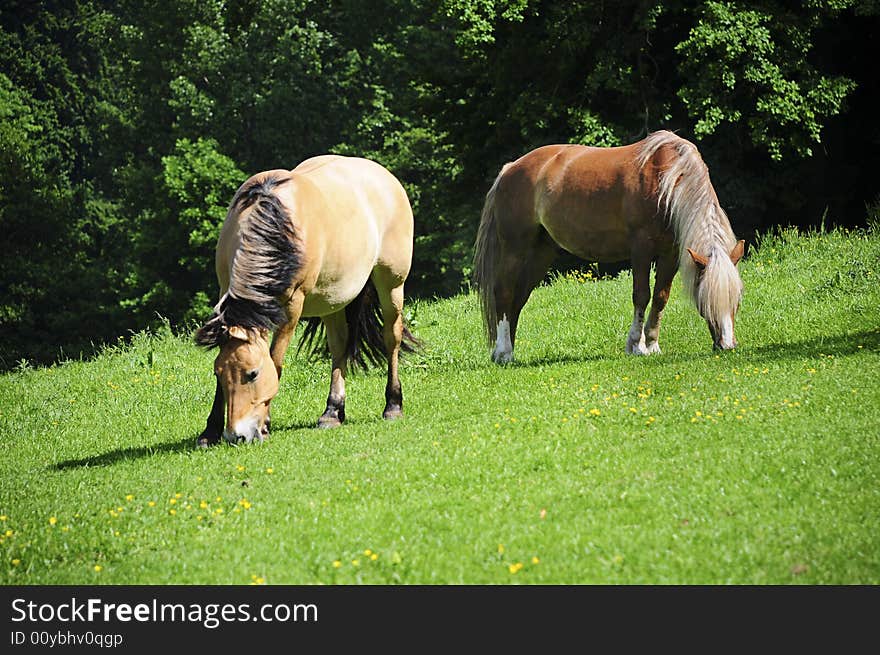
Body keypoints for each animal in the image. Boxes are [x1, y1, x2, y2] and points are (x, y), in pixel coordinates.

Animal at [198, 156, 418, 448]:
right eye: (218, 374)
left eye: (253, 374)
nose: (237, 436)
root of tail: (384, 176)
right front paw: (209, 432)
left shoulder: (291, 307)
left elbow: (276, 361)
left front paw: (264, 425)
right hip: (333, 299)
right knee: (339, 345)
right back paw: (333, 412)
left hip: (391, 284)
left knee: (391, 338)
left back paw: (393, 405)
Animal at [474, 129, 744, 364]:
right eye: (708, 299)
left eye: (737, 299)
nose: (727, 345)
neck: (666, 180)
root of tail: (510, 168)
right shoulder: (641, 248)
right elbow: (641, 295)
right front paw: (636, 346)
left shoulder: (671, 253)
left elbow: (660, 297)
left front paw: (653, 345)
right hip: (514, 248)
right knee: (504, 292)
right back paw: (503, 351)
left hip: (541, 253)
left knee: (518, 298)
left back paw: (507, 352)